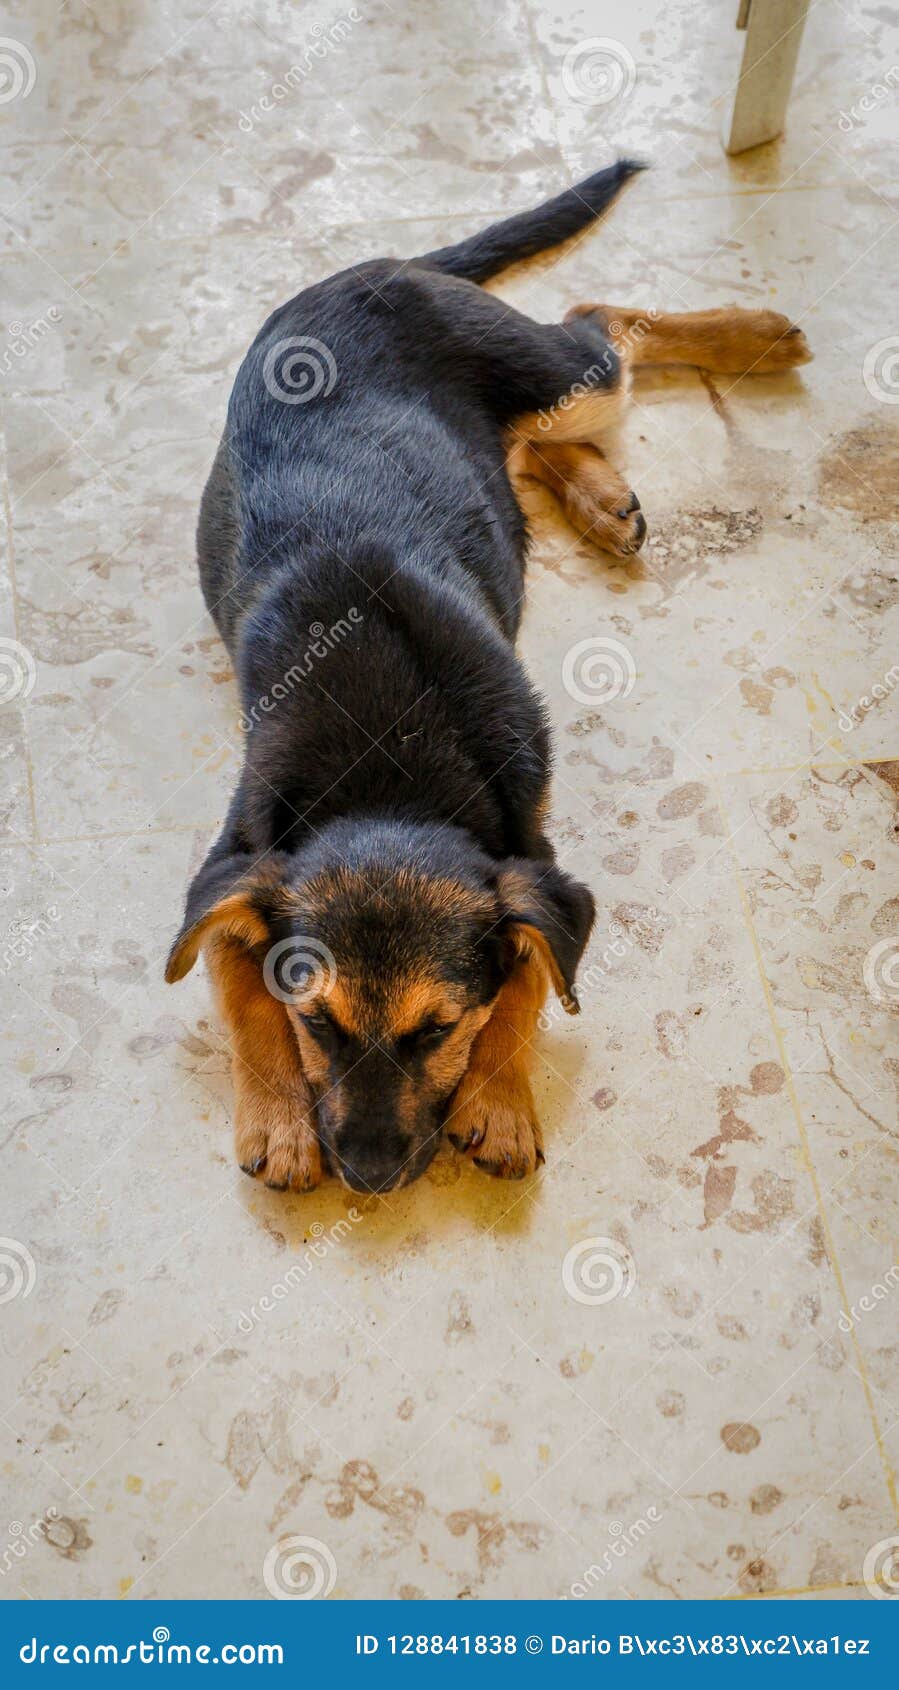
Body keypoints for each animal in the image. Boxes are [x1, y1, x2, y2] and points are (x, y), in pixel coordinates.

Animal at [164, 155, 811, 1189]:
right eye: (316, 1022)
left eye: (437, 1030)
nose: (370, 1181)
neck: (390, 771)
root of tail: (378, 266)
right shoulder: (238, 863)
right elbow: (235, 984)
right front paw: (278, 1118)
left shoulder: (532, 860)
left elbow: (529, 979)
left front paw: (500, 1102)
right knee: (532, 423)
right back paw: (600, 493)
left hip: (564, 380)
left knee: (599, 320)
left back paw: (751, 333)